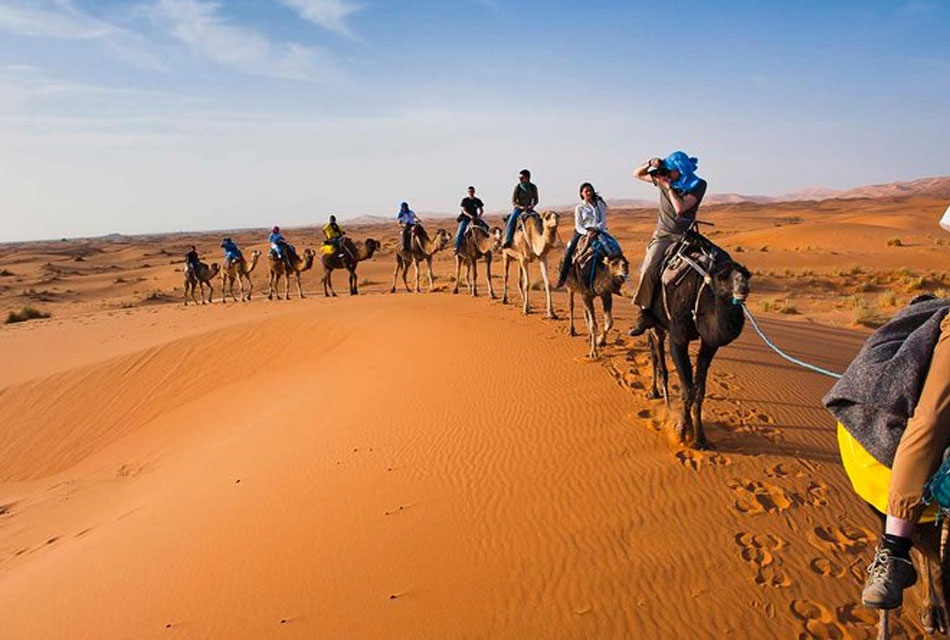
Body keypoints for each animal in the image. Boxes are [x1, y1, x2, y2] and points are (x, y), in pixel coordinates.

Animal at [648, 235, 752, 450]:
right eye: (722, 277)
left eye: (747, 274)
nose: (743, 287)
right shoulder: (678, 338)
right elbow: (687, 389)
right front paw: (681, 432)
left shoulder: (710, 345)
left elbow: (699, 390)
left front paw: (701, 438)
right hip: (656, 322)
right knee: (657, 354)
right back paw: (658, 395)